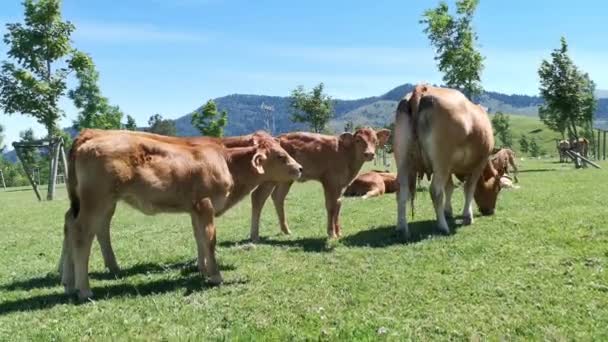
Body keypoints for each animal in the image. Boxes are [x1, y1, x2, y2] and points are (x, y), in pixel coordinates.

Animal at [59, 128, 302, 300]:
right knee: (82, 234)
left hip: (89, 204)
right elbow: (210, 239)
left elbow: (199, 238)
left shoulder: (195, 208)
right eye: (281, 156)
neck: (227, 162)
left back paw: (69, 284)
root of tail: (87, 140)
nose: (299, 168)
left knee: (71, 225)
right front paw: (216, 276)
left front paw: (203, 270)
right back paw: (84, 289)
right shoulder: (205, 204)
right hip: (97, 202)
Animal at [249, 126, 392, 240]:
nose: (369, 154)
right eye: (358, 140)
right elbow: (331, 206)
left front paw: (338, 232)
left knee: (278, 197)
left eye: (375, 141)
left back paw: (286, 230)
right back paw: (254, 235)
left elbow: (338, 205)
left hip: (286, 179)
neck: (346, 155)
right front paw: (331, 233)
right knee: (258, 197)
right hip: (269, 178)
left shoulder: (341, 185)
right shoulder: (329, 181)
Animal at [392, 84, 510, 236]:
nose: (490, 211)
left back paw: (402, 228)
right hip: (441, 160)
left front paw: (448, 212)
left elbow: (449, 188)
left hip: (404, 161)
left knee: (401, 191)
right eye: (498, 188)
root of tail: (423, 89)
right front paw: (467, 216)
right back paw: (443, 227)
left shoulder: (449, 167)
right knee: (435, 191)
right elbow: (469, 188)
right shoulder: (478, 163)